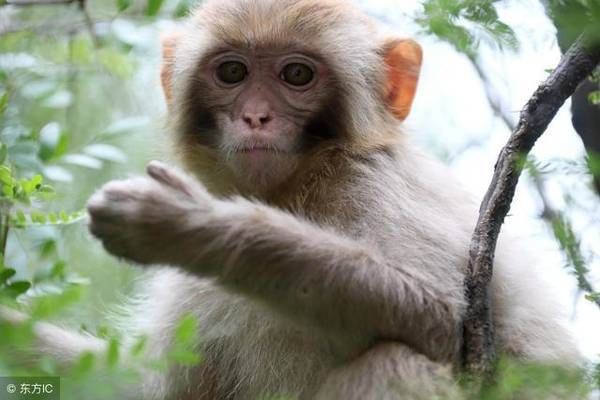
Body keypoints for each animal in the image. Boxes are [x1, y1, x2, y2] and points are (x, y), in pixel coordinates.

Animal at [0, 0, 580, 398]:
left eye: (296, 74)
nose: (256, 116)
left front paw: (193, 226)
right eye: (232, 72)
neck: (303, 185)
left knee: (397, 359)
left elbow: (445, 320)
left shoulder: (382, 184)